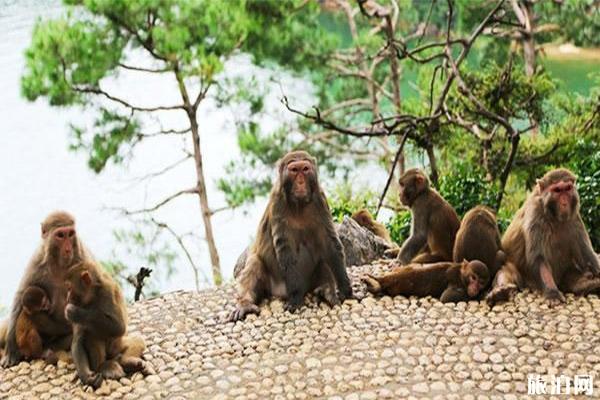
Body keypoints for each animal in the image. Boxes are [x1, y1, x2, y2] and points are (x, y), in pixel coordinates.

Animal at [1, 212, 92, 368]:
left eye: (70, 234)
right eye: (60, 235)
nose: (68, 249)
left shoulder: (83, 257)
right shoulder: (37, 259)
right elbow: (20, 295)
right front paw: (11, 349)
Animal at [64, 260, 148, 388]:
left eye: (69, 288)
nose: (68, 298)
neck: (93, 295)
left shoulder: (107, 291)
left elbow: (119, 326)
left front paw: (75, 312)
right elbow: (78, 339)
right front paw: (87, 377)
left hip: (117, 347)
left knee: (137, 341)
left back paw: (126, 361)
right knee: (91, 334)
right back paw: (102, 366)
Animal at [229, 150, 352, 322]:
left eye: (305, 169)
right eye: (294, 170)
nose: (300, 182)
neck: (298, 204)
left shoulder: (320, 198)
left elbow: (330, 244)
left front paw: (345, 287)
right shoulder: (277, 202)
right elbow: (285, 249)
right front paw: (295, 299)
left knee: (323, 258)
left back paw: (326, 290)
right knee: (255, 263)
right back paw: (245, 303)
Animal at [360, 260, 488, 302]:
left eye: (481, 282)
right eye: (473, 278)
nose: (475, 288)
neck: (462, 274)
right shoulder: (456, 279)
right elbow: (446, 297)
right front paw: (479, 296)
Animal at [488, 169, 600, 306]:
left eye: (567, 188)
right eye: (557, 190)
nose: (564, 202)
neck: (555, 217)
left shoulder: (574, 217)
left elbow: (586, 254)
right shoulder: (535, 214)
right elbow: (538, 257)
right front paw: (553, 293)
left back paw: (589, 284)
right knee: (507, 270)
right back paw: (500, 292)